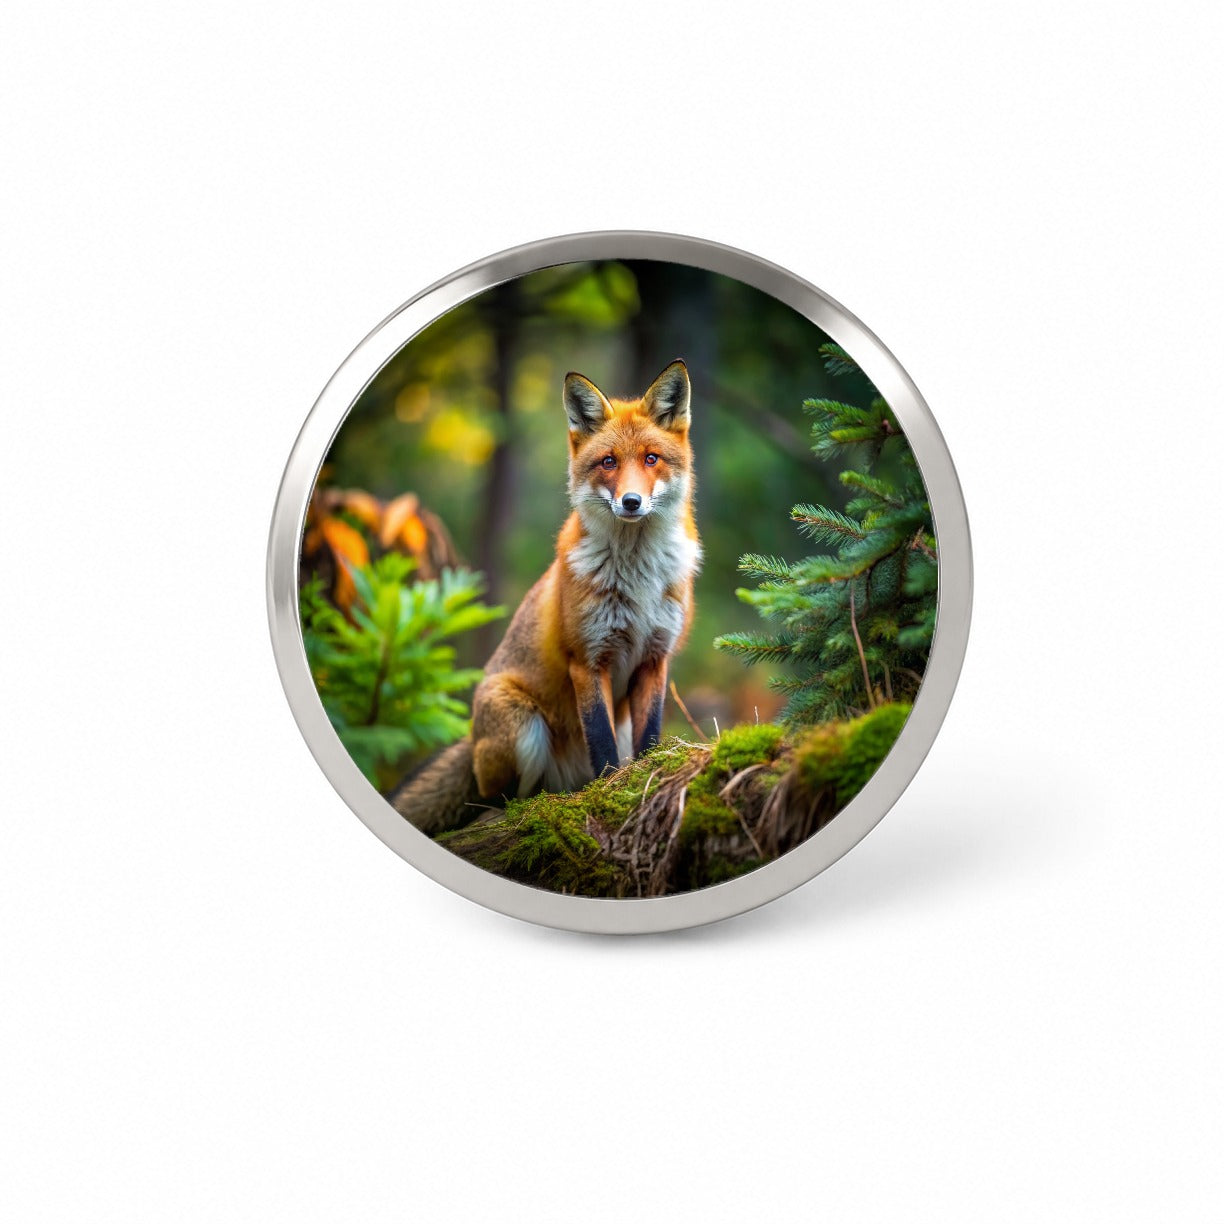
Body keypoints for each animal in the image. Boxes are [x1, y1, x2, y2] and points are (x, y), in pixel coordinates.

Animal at [389, 359, 701, 835]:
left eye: (651, 459)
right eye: (608, 462)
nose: (631, 502)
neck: (638, 581)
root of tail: (472, 738)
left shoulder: (654, 657)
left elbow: (648, 738)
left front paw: (646, 778)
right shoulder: (587, 659)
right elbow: (601, 743)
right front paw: (609, 792)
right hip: (522, 724)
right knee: (498, 799)